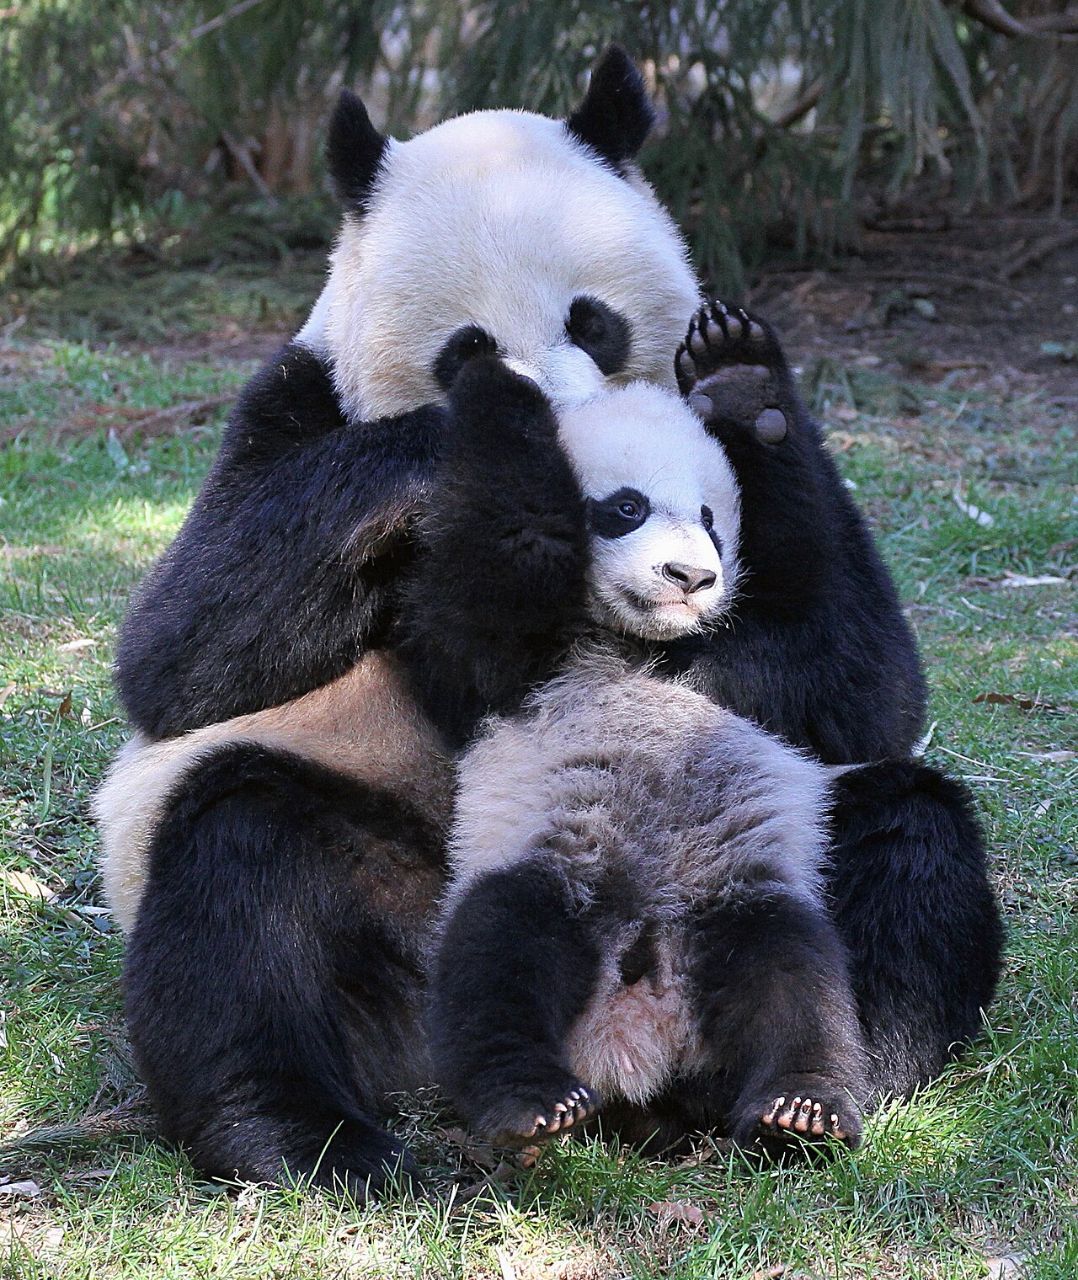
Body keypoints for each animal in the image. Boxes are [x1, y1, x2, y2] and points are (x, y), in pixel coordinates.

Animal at [421, 362, 871, 1155]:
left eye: (712, 520)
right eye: (626, 508)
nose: (689, 577)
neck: (643, 647)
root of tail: (637, 1032)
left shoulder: (766, 671)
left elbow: (855, 686)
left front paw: (751, 392)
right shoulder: (512, 661)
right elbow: (500, 564)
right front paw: (496, 376)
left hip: (736, 893)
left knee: (796, 979)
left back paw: (800, 1107)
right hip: (558, 867)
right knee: (496, 951)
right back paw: (532, 1103)